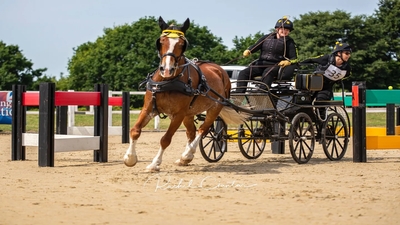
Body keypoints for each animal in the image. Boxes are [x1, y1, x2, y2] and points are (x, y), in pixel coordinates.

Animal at [123, 17, 245, 172]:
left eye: (182, 44)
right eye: (161, 41)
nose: (166, 69)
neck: (168, 81)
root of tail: (220, 70)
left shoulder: (178, 115)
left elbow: (165, 139)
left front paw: (154, 164)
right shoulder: (149, 109)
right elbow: (135, 130)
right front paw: (130, 158)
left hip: (214, 108)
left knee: (202, 130)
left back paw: (187, 154)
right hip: (189, 113)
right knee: (191, 132)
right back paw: (186, 158)